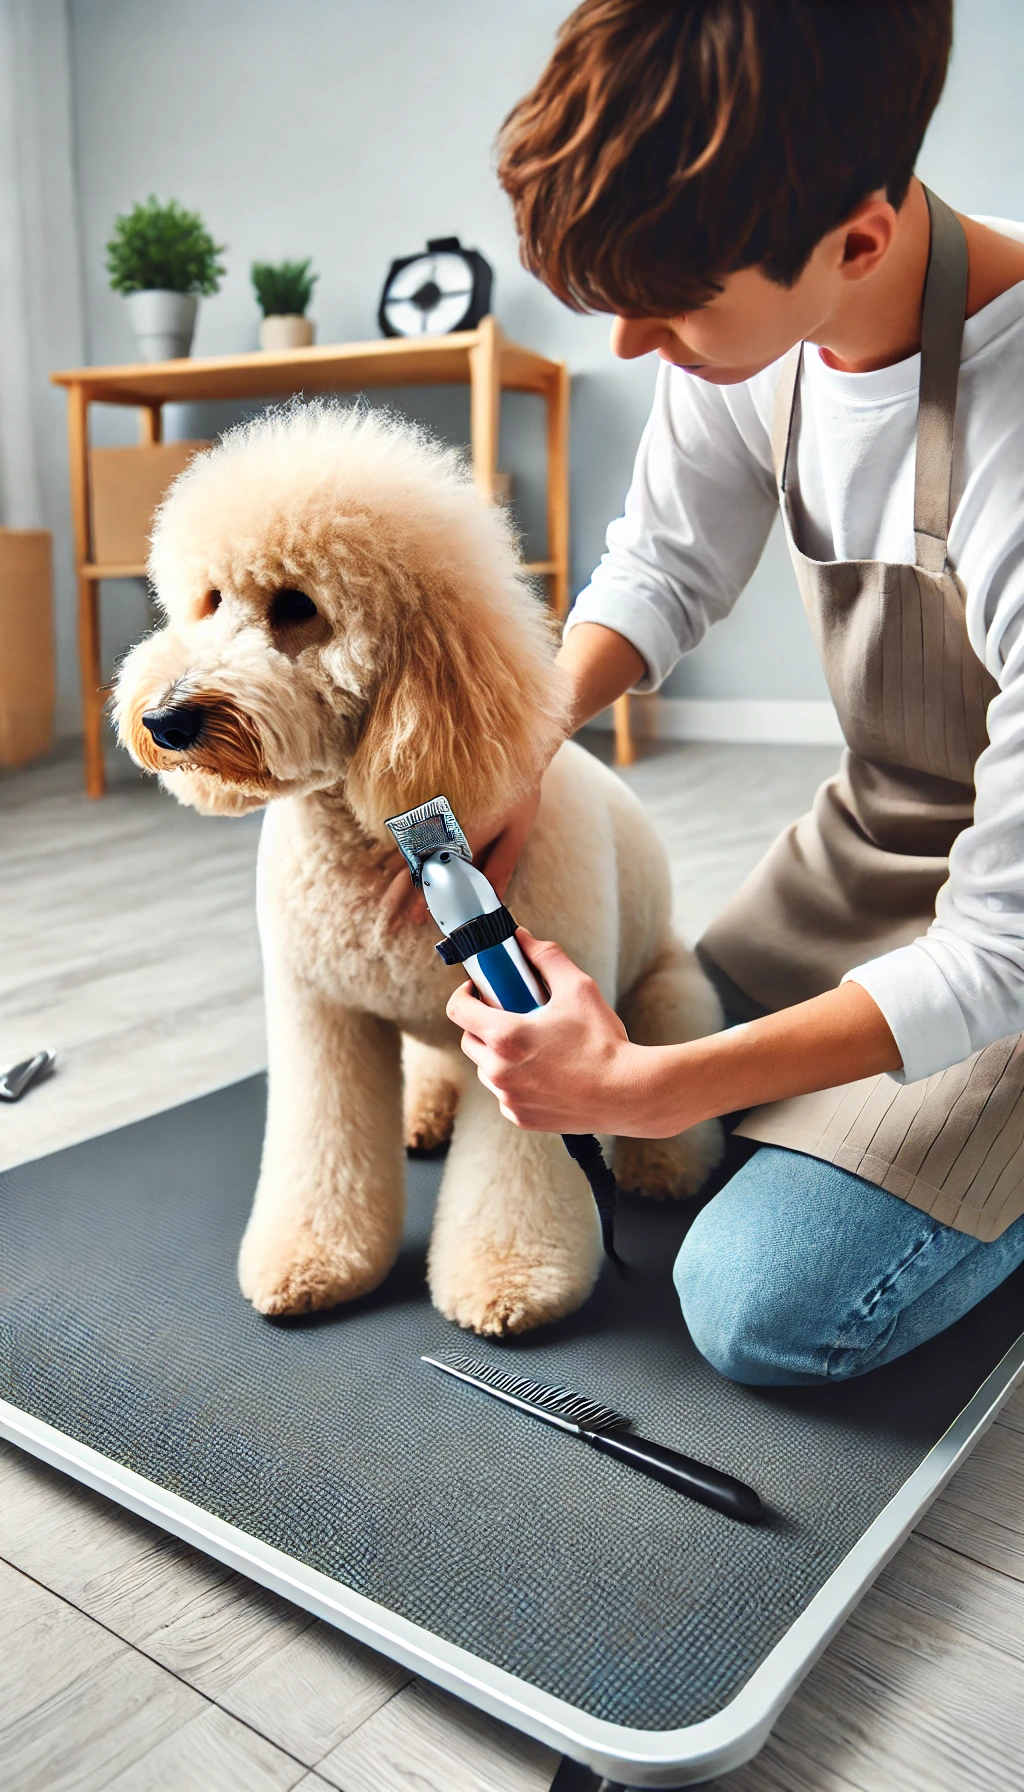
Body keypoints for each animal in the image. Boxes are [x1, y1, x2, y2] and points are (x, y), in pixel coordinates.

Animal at [116, 406, 724, 1333]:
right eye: (210, 600)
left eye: (297, 607)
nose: (165, 720)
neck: (367, 842)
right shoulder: (321, 1016)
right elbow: (320, 1148)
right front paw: (310, 1258)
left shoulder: (534, 1037)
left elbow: (521, 1163)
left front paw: (509, 1277)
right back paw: (425, 1111)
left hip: (665, 992)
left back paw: (662, 1166)